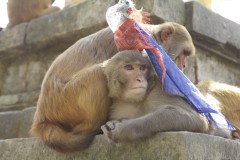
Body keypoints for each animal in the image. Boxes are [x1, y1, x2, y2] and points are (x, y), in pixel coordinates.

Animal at [100, 50, 232, 142]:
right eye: (129, 67)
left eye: (142, 68)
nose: (140, 79)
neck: (132, 101)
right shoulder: (115, 108)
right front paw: (113, 123)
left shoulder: (159, 90)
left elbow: (195, 119)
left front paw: (122, 129)